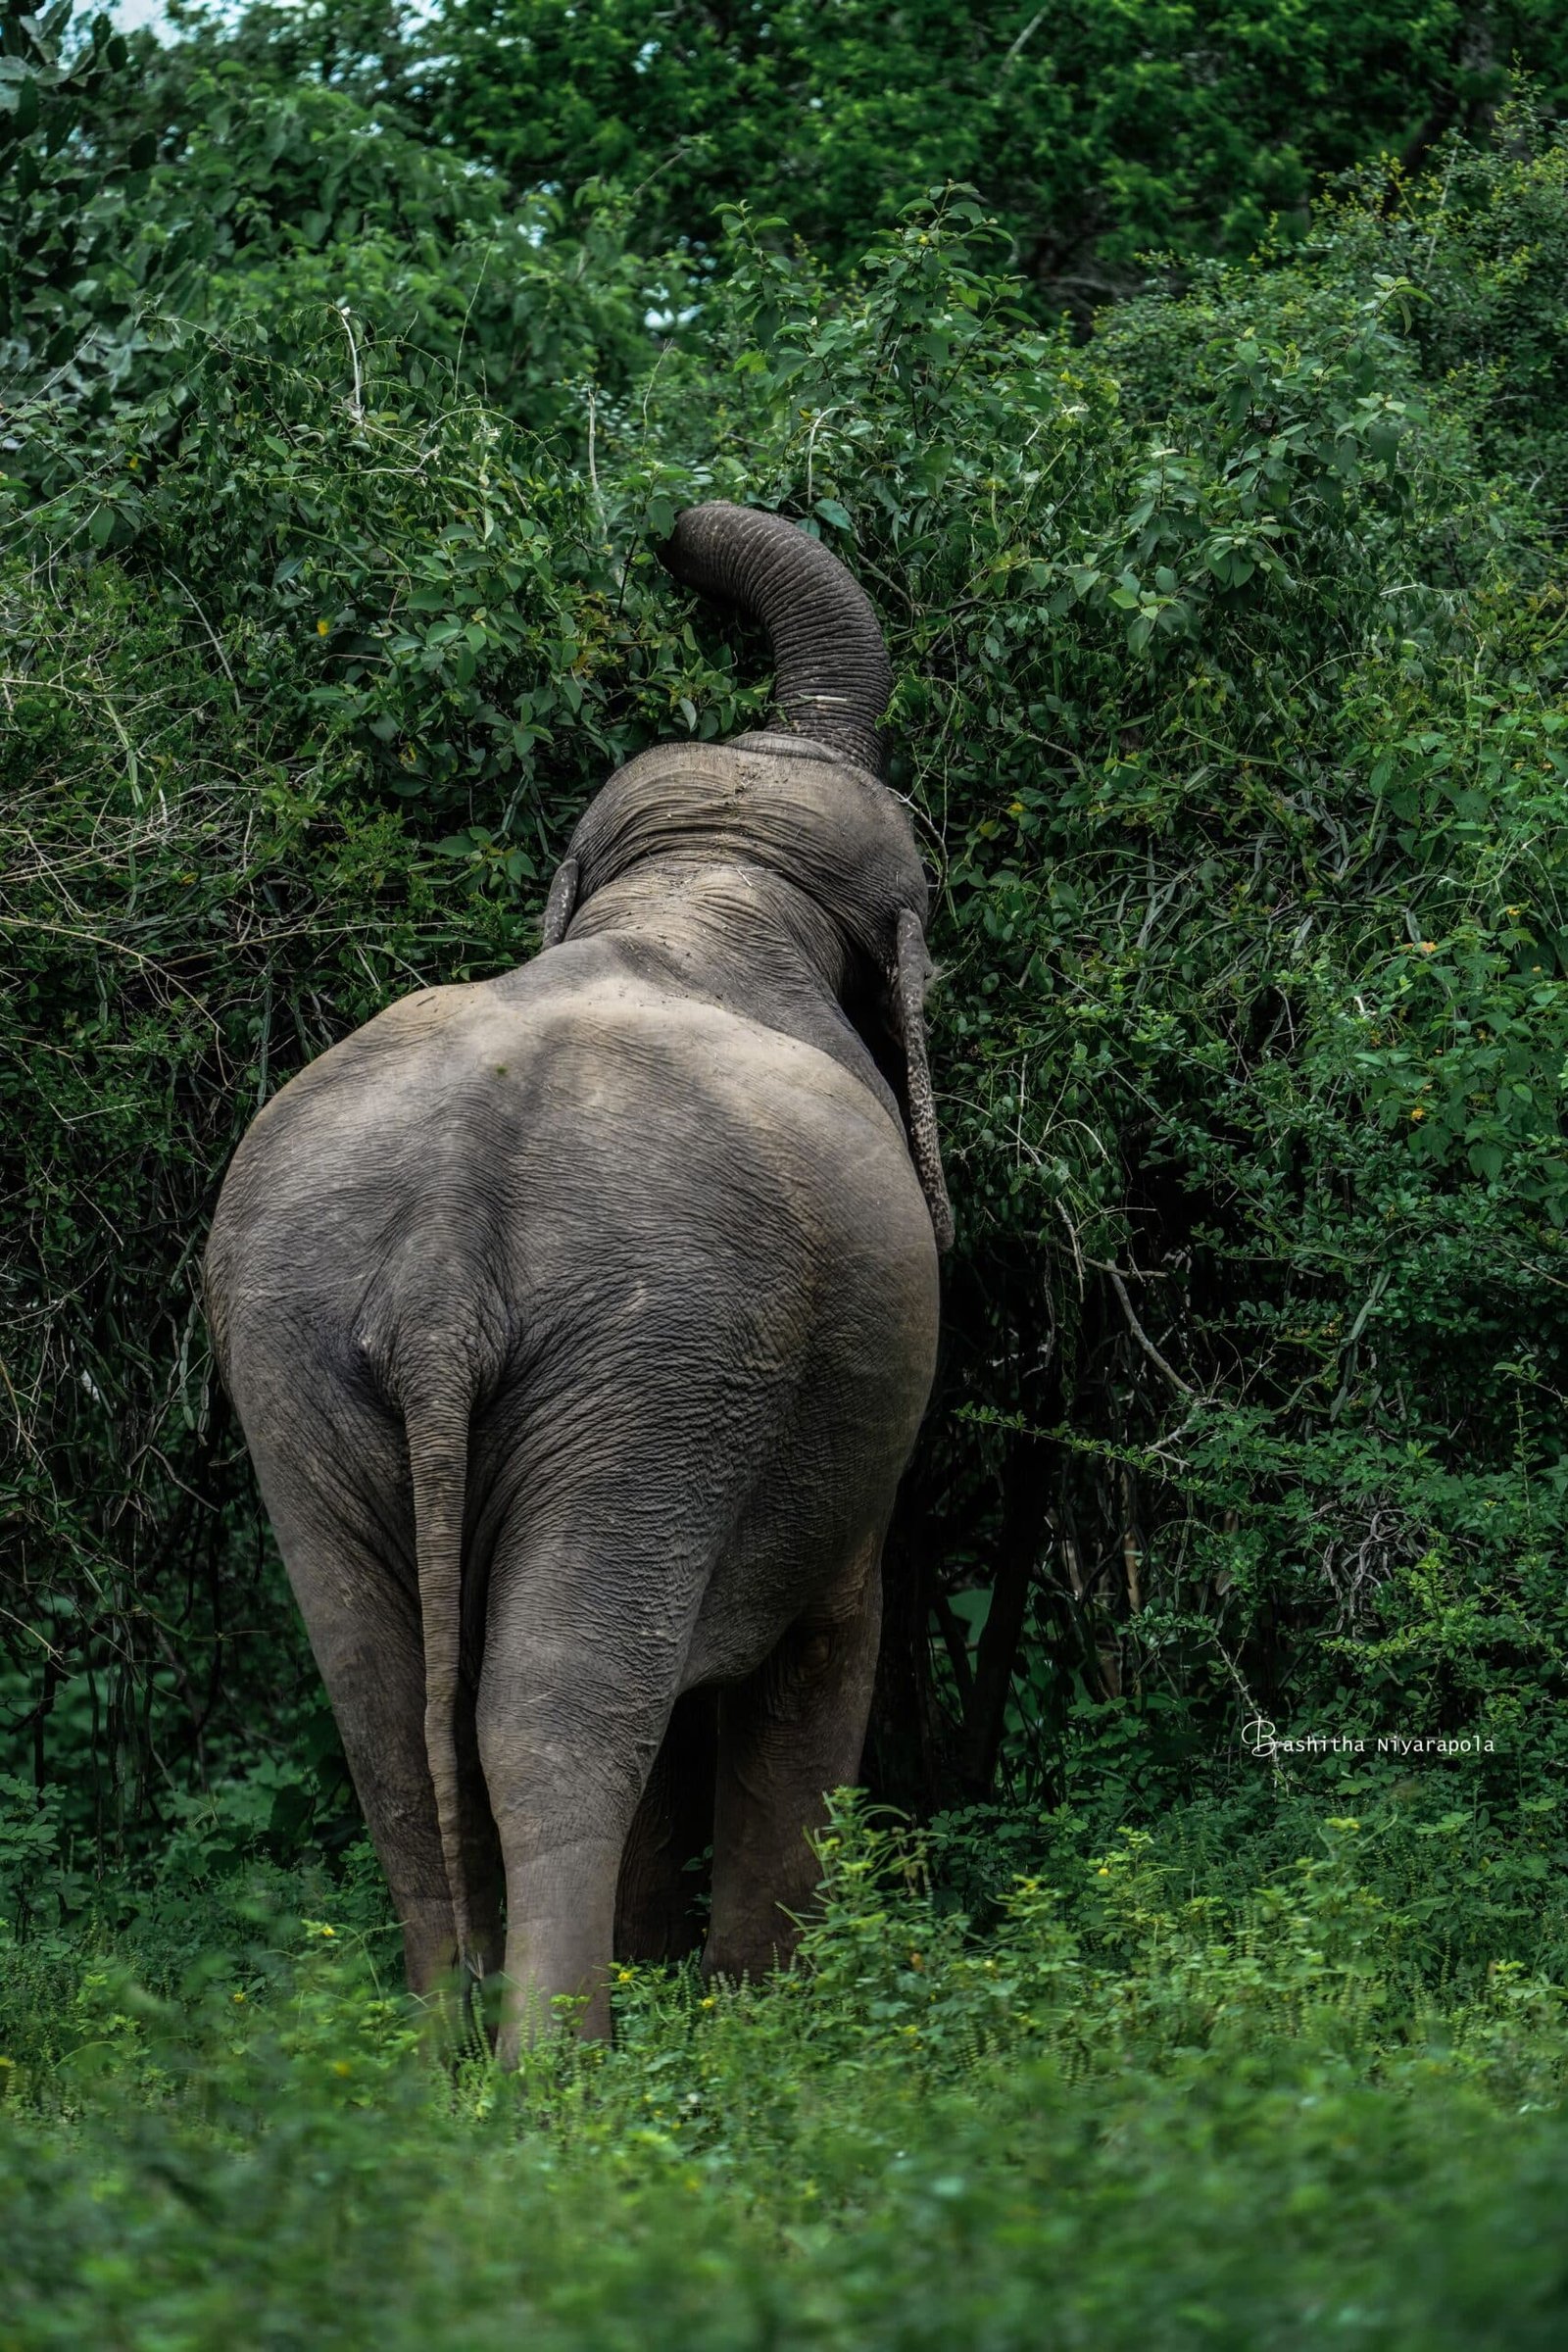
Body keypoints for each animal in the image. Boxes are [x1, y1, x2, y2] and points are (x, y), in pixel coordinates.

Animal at [204, 501, 952, 2053]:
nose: (673, 530)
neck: (707, 884)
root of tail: (440, 1259)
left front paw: (688, 1993)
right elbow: (821, 1648)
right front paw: (761, 2017)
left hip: (303, 1362)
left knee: (383, 1703)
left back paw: (446, 2054)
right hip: (654, 1370)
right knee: (560, 1704)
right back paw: (563, 2069)